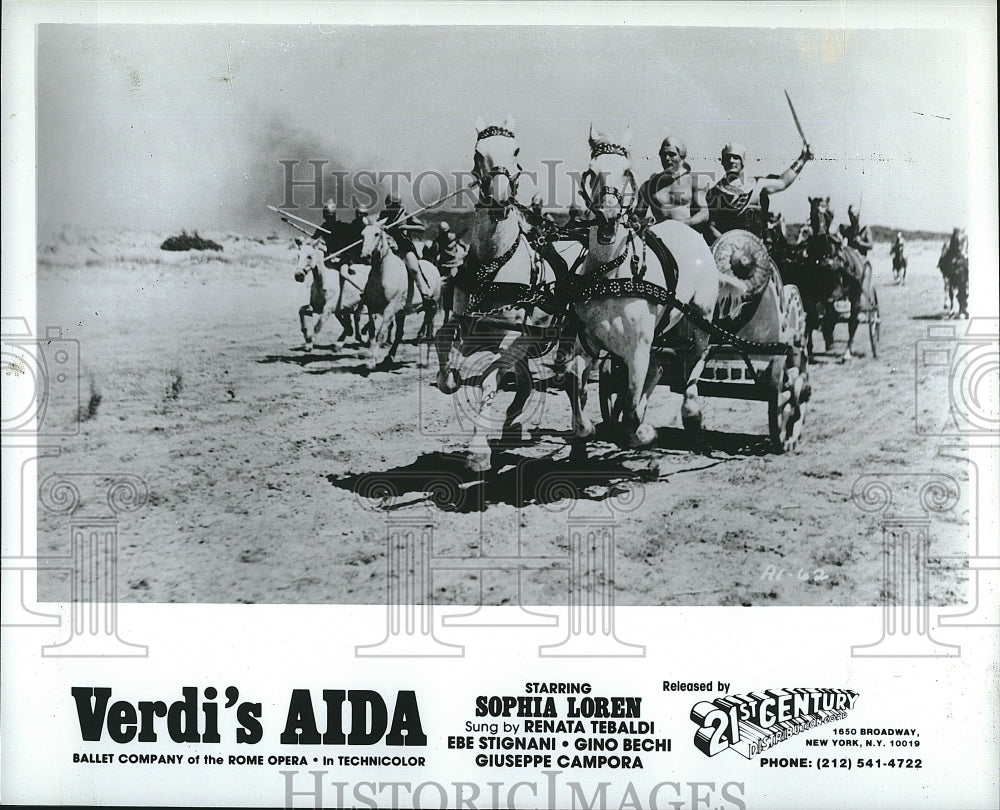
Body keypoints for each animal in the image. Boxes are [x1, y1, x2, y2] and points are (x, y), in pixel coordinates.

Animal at [358, 223, 440, 370]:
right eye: (362, 234)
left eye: (377, 234)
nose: (364, 256)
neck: (383, 274)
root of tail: (433, 267)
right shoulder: (372, 308)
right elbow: (372, 332)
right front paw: (370, 358)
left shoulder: (389, 310)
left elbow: (380, 334)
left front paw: (372, 361)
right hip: (401, 313)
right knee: (399, 334)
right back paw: (389, 358)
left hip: (432, 308)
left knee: (429, 333)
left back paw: (425, 361)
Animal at [436, 118, 568, 474]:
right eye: (478, 152)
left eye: (516, 150)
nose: (498, 196)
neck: (495, 264)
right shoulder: (465, 321)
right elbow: (442, 338)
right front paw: (447, 379)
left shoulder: (512, 335)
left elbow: (488, 383)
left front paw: (478, 451)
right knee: (523, 381)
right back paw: (512, 423)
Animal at [568, 126, 740, 454]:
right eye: (592, 172)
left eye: (626, 171)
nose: (608, 217)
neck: (612, 274)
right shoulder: (588, 341)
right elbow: (574, 380)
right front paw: (585, 430)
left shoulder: (637, 348)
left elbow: (633, 409)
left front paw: (643, 433)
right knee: (659, 369)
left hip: (701, 318)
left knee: (697, 359)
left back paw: (691, 412)